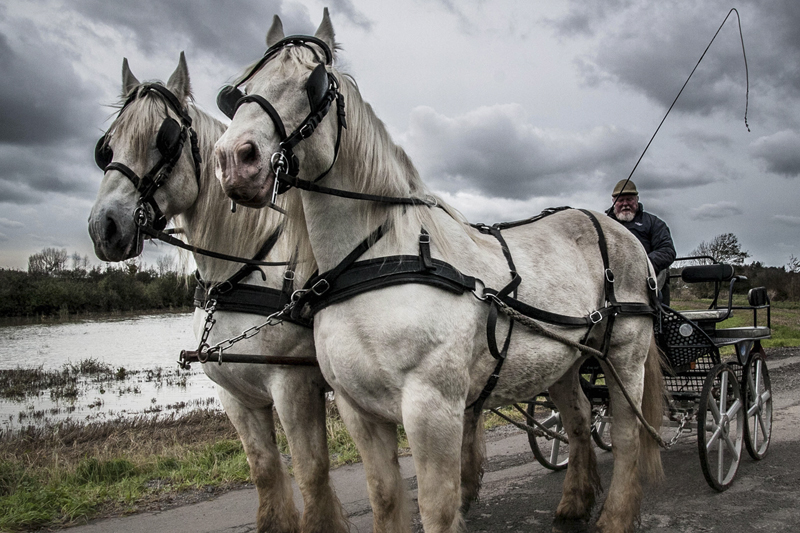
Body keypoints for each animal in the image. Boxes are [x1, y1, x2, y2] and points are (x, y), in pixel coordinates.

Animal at [89, 53, 348, 532]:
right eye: (107, 148)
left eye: (165, 139)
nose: (105, 227)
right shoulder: (235, 396)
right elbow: (265, 471)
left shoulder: (295, 386)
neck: (239, 274)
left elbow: (311, 473)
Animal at [216, 11, 664, 532]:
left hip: (624, 355)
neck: (378, 261)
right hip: (566, 362)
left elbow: (437, 506)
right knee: (577, 422)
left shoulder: (433, 409)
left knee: (629, 436)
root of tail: (618, 228)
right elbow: (386, 498)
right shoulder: (358, 410)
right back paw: (574, 503)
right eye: (236, 92)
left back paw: (616, 516)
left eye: (315, 83)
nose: (233, 160)